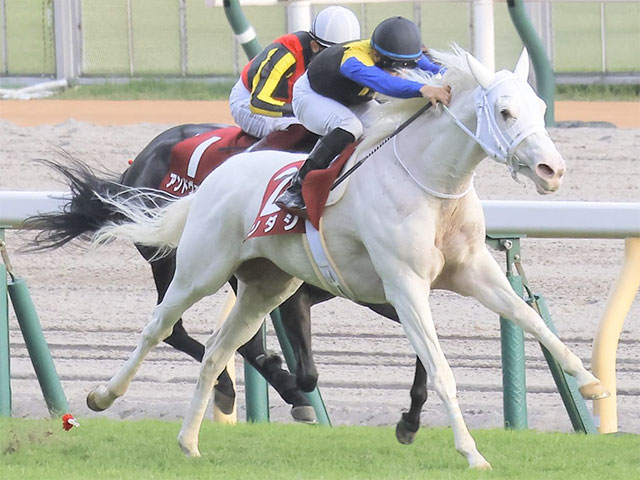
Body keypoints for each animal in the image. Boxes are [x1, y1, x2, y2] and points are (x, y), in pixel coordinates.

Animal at [26, 124, 424, 442]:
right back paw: (240, 385)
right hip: (175, 260)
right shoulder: (293, 290)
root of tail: (136, 164)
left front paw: (411, 418)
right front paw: (290, 386)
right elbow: (303, 370)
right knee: (177, 329)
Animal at [82, 48, 608, 468]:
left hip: (267, 286)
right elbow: (440, 369)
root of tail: (217, 176)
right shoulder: (404, 285)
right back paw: (103, 396)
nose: (552, 170)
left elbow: (531, 320)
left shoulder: (473, 271)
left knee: (217, 350)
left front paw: (592, 384)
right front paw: (471, 452)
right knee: (160, 327)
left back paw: (190, 441)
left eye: (540, 106)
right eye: (504, 111)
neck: (426, 183)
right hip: (201, 269)